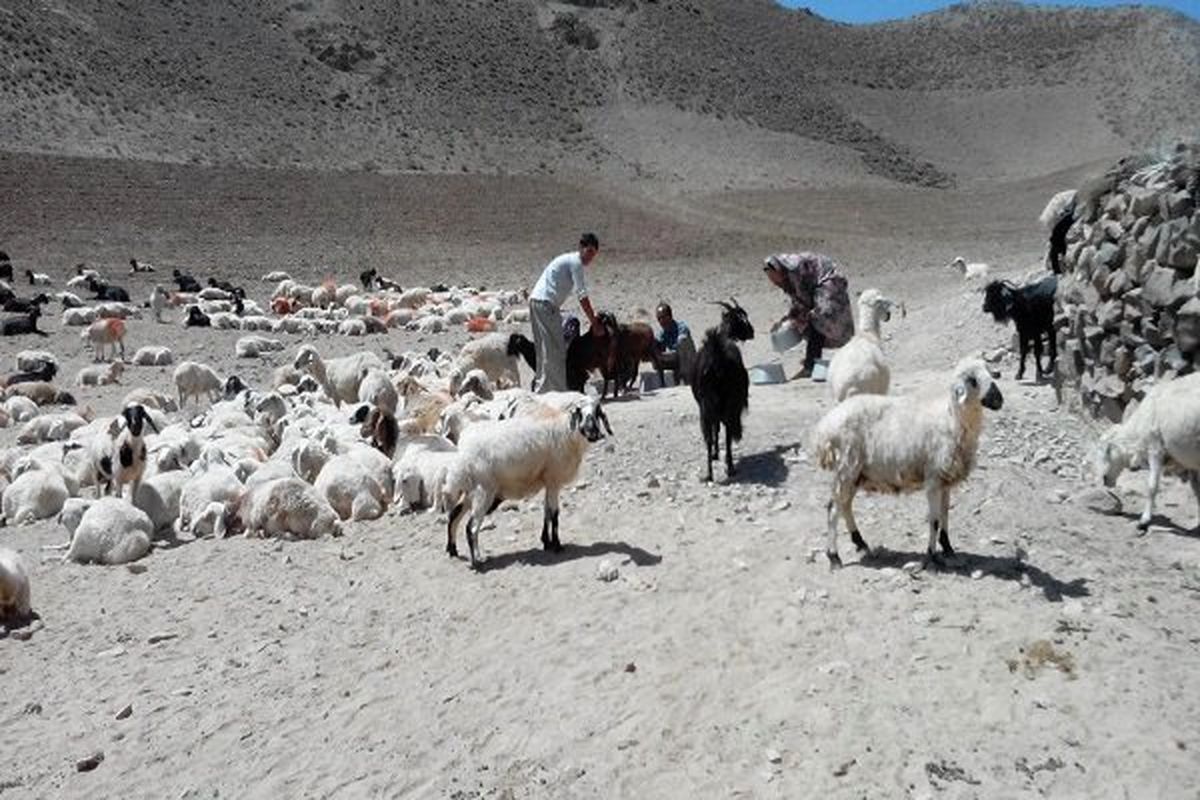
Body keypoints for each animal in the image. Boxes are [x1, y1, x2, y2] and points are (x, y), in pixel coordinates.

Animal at [441, 395, 614, 568]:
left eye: (597, 413)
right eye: (580, 413)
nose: (593, 433)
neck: (567, 432)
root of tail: (463, 453)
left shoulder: (548, 482)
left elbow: (546, 512)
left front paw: (546, 542)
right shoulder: (554, 480)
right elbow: (554, 514)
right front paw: (557, 545)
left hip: (472, 490)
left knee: (455, 515)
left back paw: (453, 549)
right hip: (483, 491)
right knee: (471, 528)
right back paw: (476, 562)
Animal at [691, 298, 753, 482]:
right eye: (742, 319)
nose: (752, 332)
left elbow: (715, 431)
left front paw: (715, 455)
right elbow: (720, 430)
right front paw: (719, 456)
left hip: (707, 407)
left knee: (710, 436)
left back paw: (710, 473)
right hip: (725, 404)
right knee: (726, 432)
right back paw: (729, 467)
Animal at [806, 357, 1003, 568]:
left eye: (989, 371)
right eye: (972, 380)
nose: (999, 400)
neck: (951, 421)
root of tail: (823, 428)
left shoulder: (945, 480)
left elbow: (945, 515)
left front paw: (948, 549)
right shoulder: (933, 479)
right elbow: (934, 520)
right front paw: (931, 556)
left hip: (855, 473)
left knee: (845, 505)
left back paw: (860, 542)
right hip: (847, 466)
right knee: (834, 509)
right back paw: (834, 556)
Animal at [1094, 374, 1200, 532]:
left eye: (1107, 451)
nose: (1104, 479)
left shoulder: (1155, 449)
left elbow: (1151, 487)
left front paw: (1144, 521)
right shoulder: (1190, 462)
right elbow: (1197, 491)